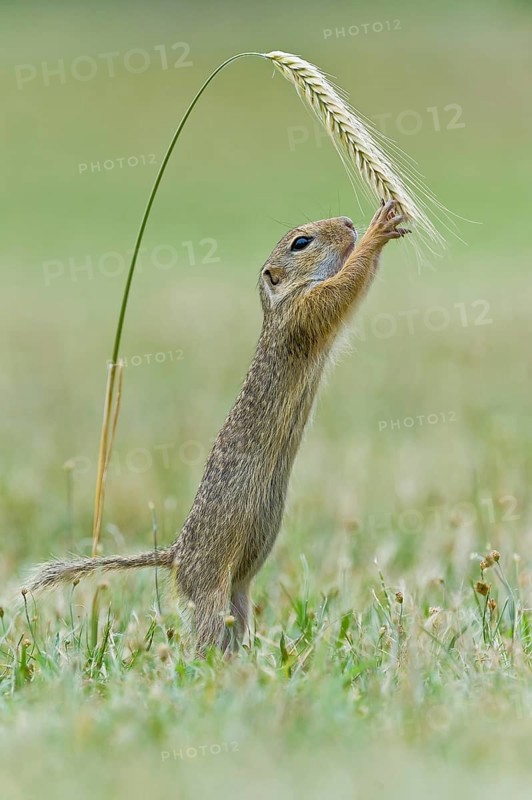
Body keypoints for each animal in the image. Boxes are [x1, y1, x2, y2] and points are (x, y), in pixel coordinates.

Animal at [25, 200, 410, 653]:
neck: (279, 303)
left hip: (238, 593)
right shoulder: (306, 311)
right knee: (206, 634)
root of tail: (174, 554)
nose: (348, 222)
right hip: (210, 588)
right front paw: (377, 229)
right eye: (300, 242)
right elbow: (345, 286)